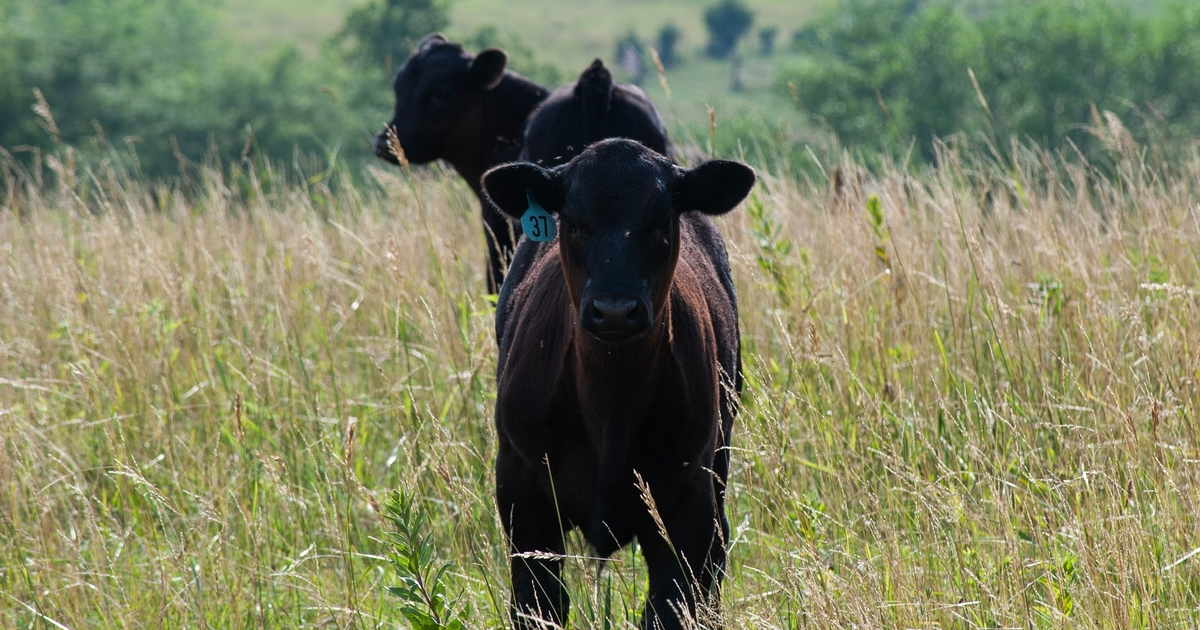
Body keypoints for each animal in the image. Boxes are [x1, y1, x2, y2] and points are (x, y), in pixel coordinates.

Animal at [480, 138, 753, 628]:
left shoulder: (688, 504)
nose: (613, 310)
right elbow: (539, 605)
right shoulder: (521, 492)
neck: (611, 408)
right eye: (572, 223)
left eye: (661, 223)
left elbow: (670, 606)